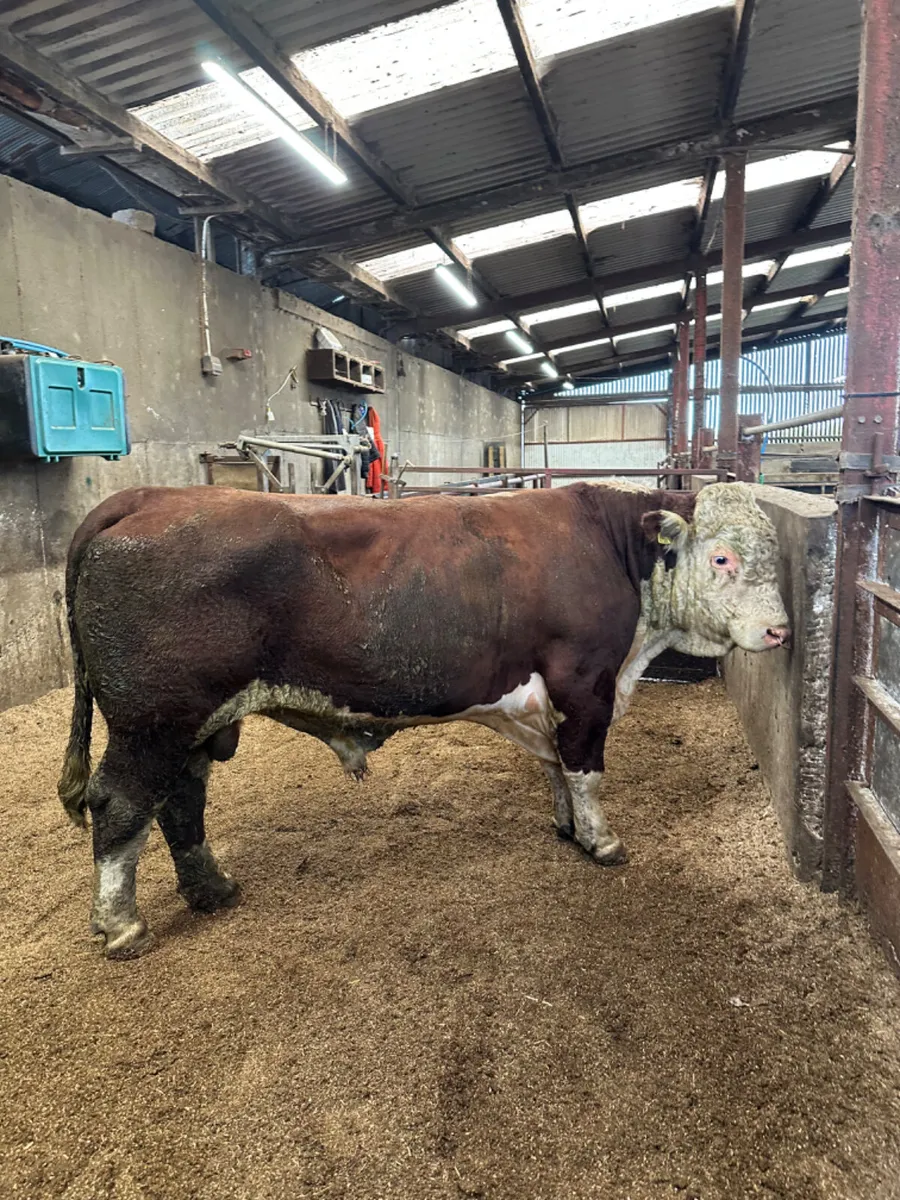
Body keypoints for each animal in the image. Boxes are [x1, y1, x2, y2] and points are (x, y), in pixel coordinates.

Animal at [57, 481, 789, 958]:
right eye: (722, 557)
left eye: (773, 556)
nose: (780, 630)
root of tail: (148, 495)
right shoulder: (585, 683)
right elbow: (585, 768)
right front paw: (600, 840)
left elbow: (554, 762)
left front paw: (565, 827)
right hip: (152, 722)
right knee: (121, 802)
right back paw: (121, 926)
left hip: (192, 724)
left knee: (182, 797)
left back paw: (211, 888)